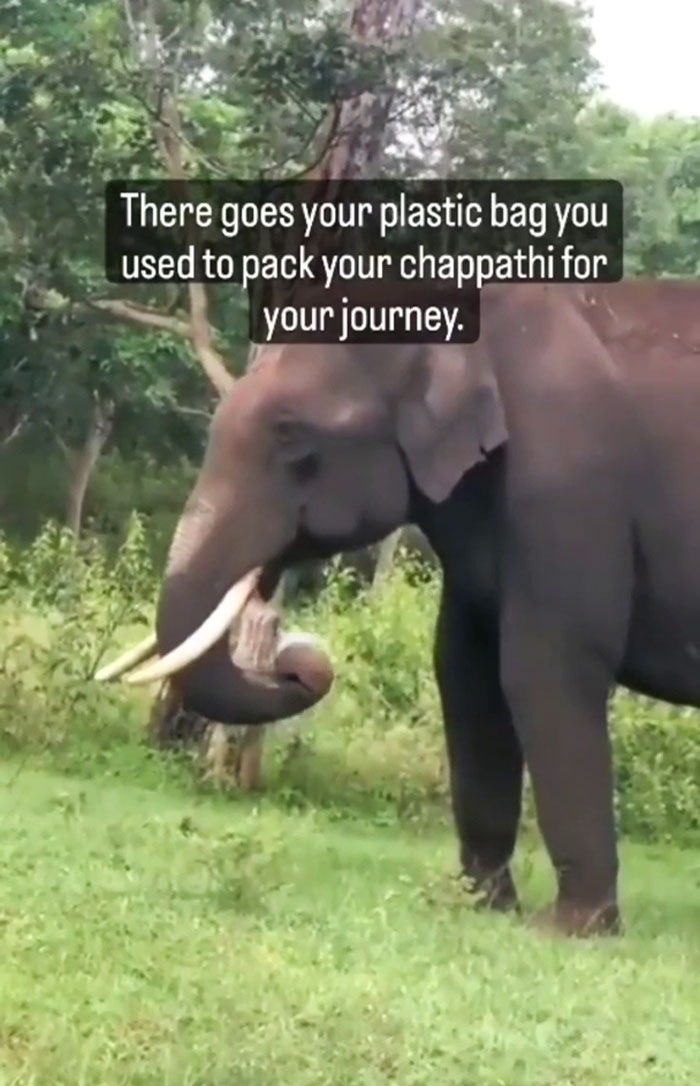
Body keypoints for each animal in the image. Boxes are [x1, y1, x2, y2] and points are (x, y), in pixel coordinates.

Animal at [99, 278, 700, 937]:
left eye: (291, 435)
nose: (299, 660)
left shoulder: (567, 483)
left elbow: (544, 672)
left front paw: (569, 929)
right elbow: (465, 676)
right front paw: (476, 905)